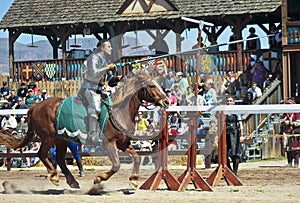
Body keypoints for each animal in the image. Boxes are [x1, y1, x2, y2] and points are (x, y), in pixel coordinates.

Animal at [6, 71, 169, 189]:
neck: (118, 111)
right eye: (151, 86)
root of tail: (36, 106)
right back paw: (54, 176)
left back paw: (72, 181)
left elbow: (136, 158)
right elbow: (116, 164)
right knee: (42, 154)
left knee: (59, 159)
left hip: (60, 140)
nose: (166, 101)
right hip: (48, 138)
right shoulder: (109, 144)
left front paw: (134, 180)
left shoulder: (123, 144)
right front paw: (99, 178)